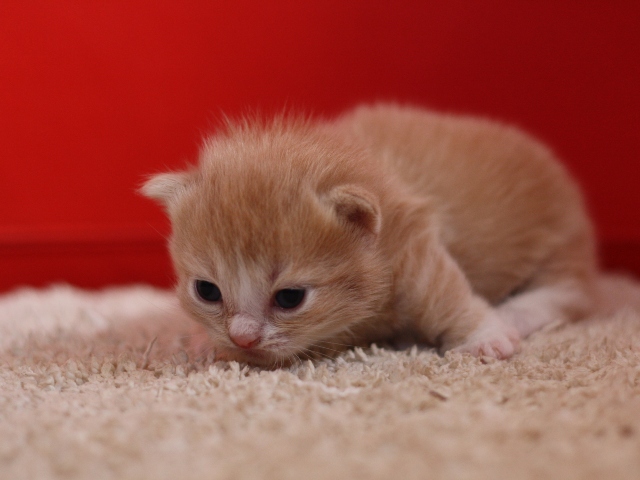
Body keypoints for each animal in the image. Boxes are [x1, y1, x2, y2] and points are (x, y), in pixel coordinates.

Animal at [142, 105, 596, 366]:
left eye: (290, 298)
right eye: (207, 291)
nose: (242, 338)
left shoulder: (411, 243)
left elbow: (446, 295)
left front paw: (486, 338)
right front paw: (205, 341)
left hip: (560, 242)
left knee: (569, 294)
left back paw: (513, 315)